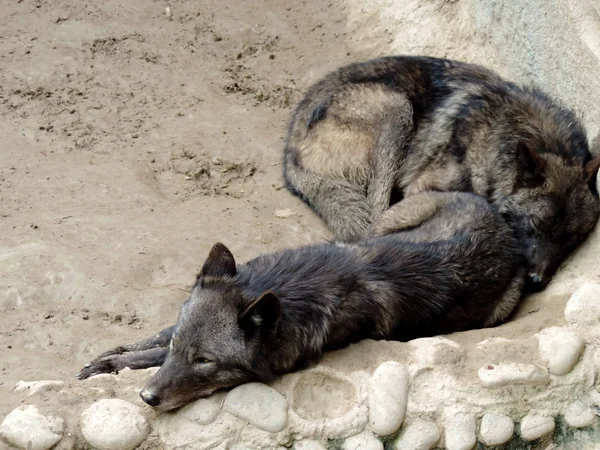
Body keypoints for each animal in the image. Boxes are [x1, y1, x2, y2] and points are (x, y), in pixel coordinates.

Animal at [77, 192, 524, 414]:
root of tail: (501, 221)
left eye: (205, 362)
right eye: (179, 349)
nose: (146, 398)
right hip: (385, 224)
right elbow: (151, 342)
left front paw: (114, 366)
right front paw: (109, 360)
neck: (285, 285)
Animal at [282, 55, 600, 292]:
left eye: (571, 239)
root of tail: (290, 150)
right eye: (535, 225)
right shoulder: (421, 187)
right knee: (374, 214)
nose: (536, 281)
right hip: (396, 109)